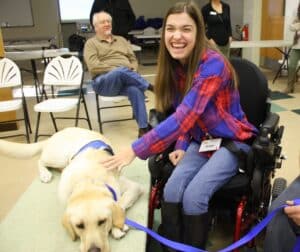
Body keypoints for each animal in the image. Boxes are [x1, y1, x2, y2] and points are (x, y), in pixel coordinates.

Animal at [0, 127, 144, 252]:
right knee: (40, 160)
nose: (94, 250)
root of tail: (55, 134)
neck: (87, 181)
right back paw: (45, 174)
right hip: (58, 157)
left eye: (102, 222)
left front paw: (118, 226)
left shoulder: (134, 187)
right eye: (79, 226)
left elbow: (120, 203)